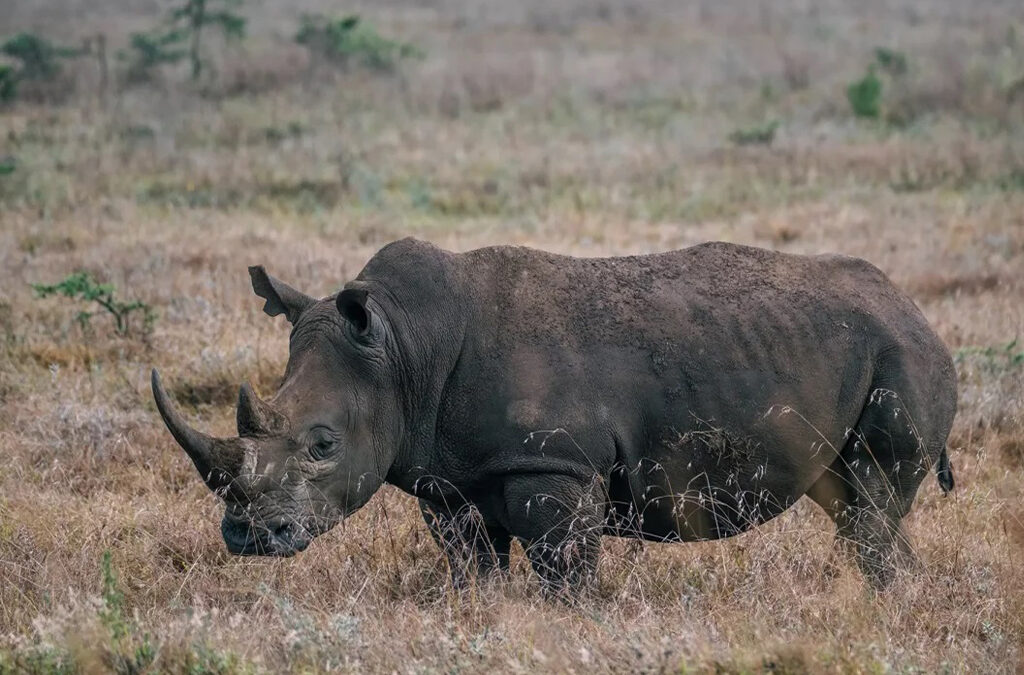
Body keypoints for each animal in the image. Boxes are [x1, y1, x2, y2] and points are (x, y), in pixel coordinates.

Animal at [152, 238, 957, 593]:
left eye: (322, 443)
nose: (249, 538)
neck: (404, 349)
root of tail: (916, 309)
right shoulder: (452, 475)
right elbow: (471, 562)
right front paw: (475, 609)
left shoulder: (554, 464)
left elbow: (563, 568)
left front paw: (574, 616)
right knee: (854, 506)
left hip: (900, 353)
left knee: (871, 503)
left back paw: (885, 596)